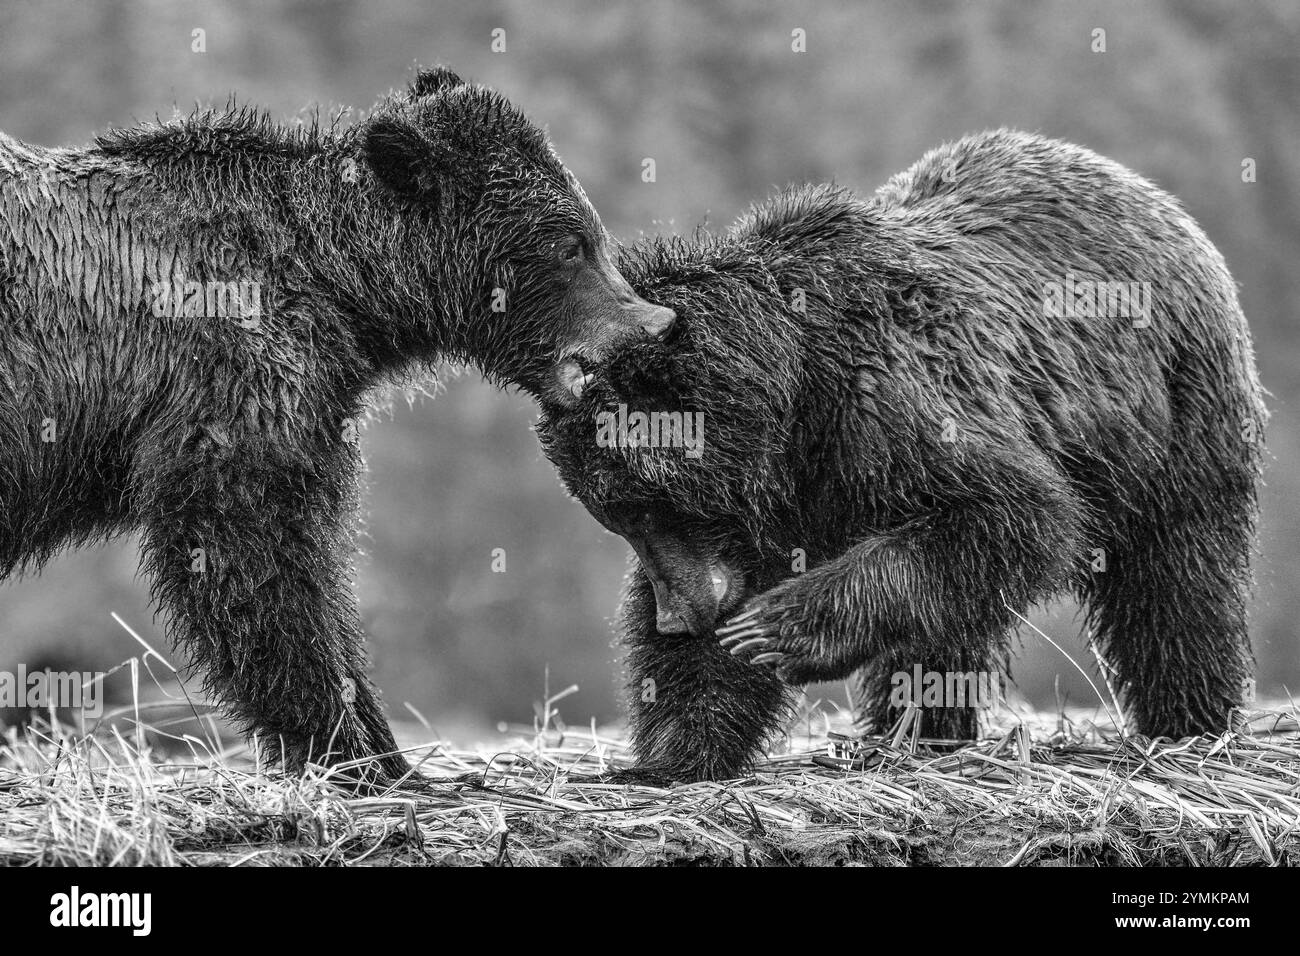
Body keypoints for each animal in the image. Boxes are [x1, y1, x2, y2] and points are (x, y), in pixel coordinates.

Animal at [0, 69, 670, 785]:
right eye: (570, 244)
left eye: (590, 229)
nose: (655, 324)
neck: (337, 287)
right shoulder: (233, 376)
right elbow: (251, 547)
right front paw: (348, 748)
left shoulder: (315, 405)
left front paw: (385, 751)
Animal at [538, 127, 1268, 785]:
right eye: (617, 515)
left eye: (641, 504)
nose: (679, 617)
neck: (796, 403)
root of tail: (1150, 195)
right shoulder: (773, 501)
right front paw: (672, 749)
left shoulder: (895, 408)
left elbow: (1013, 514)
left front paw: (774, 629)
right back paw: (923, 729)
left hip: (1176, 413)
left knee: (1177, 578)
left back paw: (1189, 722)